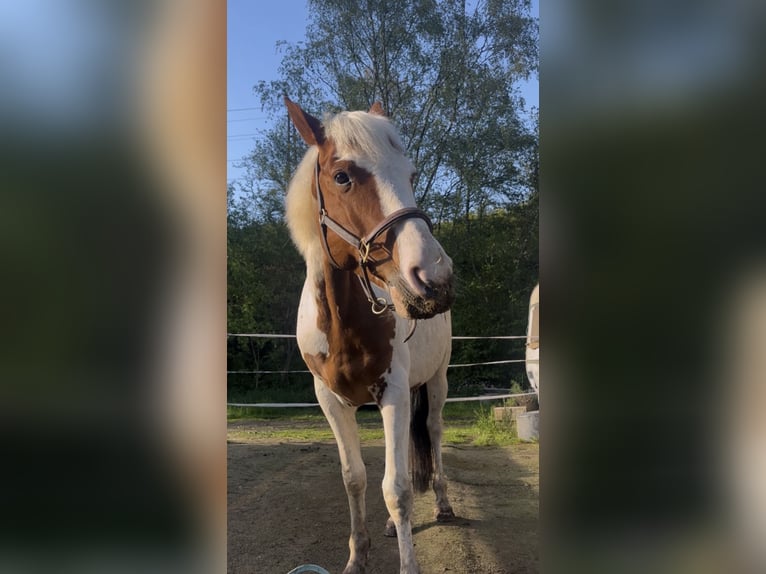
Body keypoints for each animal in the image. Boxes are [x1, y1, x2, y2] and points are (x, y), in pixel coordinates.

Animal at [283, 96, 456, 574]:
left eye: (410, 174)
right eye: (342, 176)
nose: (434, 277)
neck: (343, 324)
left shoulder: (394, 393)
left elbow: (396, 488)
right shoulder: (331, 400)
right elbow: (355, 479)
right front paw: (357, 556)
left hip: (437, 381)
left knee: (433, 434)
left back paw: (443, 505)